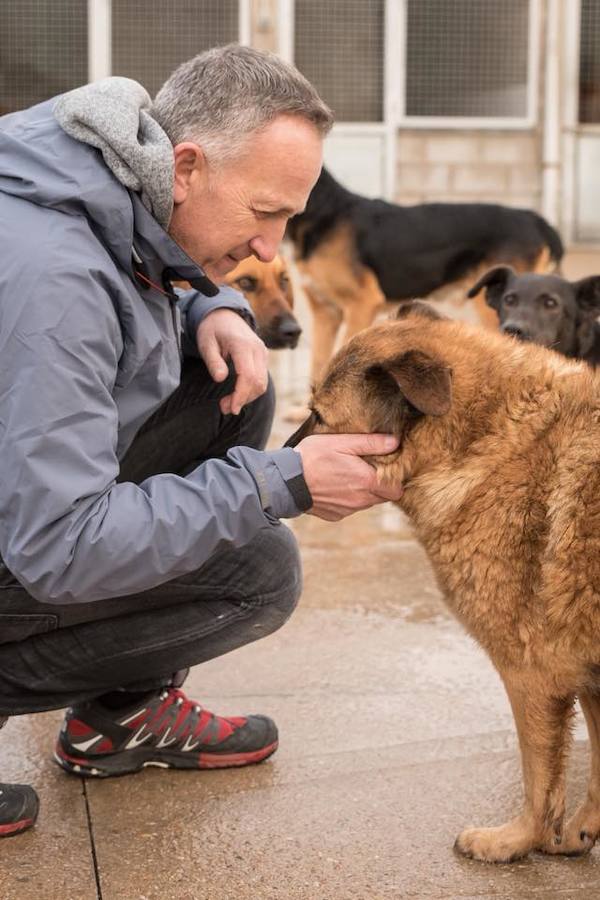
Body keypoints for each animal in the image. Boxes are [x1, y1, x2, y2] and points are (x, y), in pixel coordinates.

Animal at [284, 302, 600, 864]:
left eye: (320, 416)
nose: (277, 456)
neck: (480, 442)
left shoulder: (532, 674)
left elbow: (539, 780)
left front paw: (516, 840)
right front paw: (579, 830)